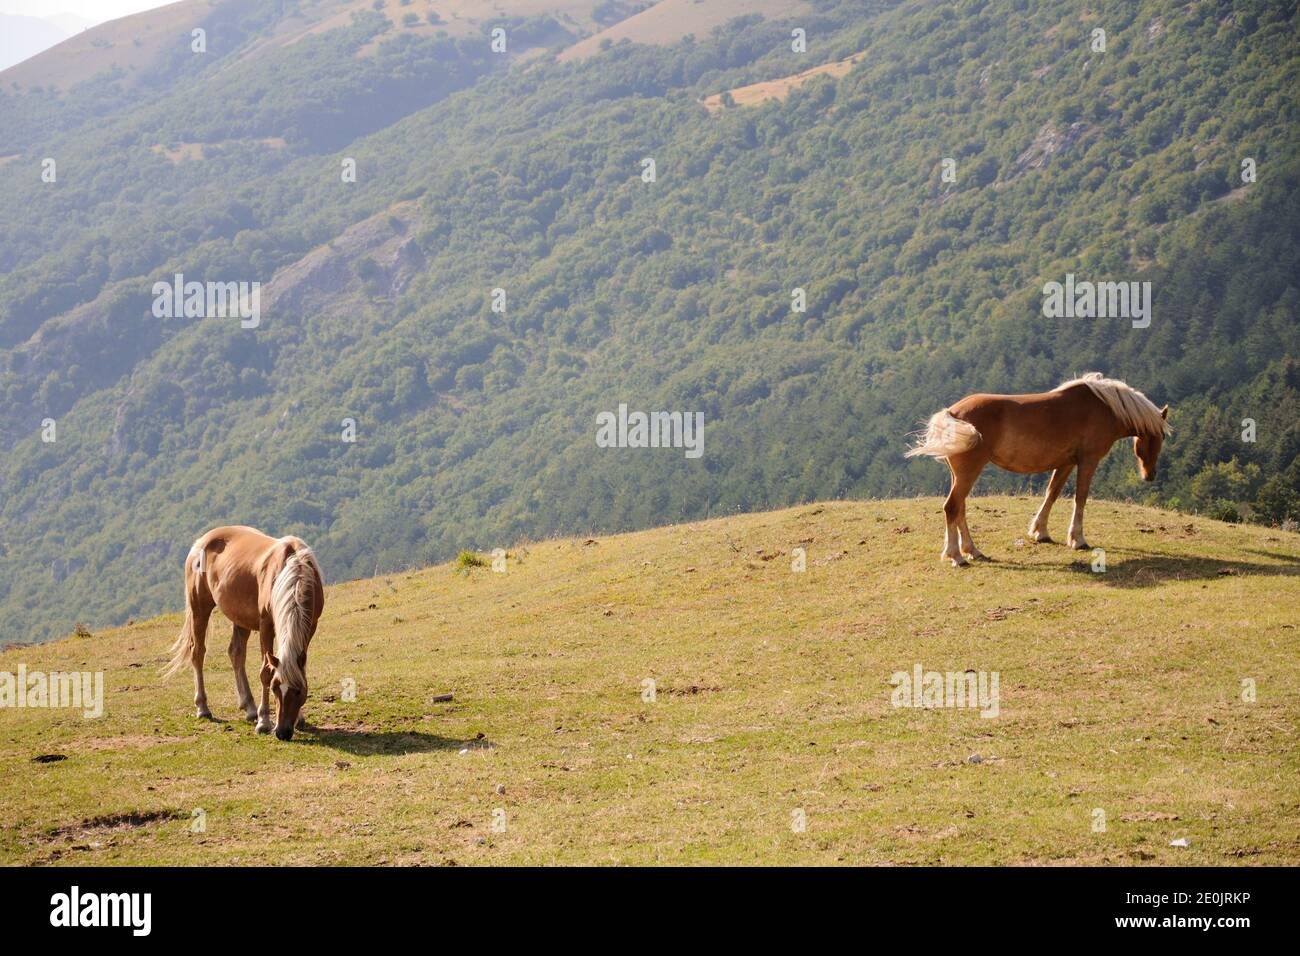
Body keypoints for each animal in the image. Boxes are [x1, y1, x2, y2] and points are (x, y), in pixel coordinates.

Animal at [163, 522, 323, 738]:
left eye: (299, 691)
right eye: (275, 688)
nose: (282, 732)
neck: (293, 570)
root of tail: (200, 542)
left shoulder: (311, 626)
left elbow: (299, 668)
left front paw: (299, 718)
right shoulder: (266, 625)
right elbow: (265, 672)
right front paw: (264, 722)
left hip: (240, 619)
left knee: (236, 653)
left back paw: (249, 708)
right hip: (199, 608)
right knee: (197, 653)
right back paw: (203, 708)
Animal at [909, 374, 1175, 567]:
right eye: (1159, 437)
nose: (1150, 475)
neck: (1104, 407)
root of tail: (952, 413)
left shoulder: (1066, 463)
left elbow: (1052, 494)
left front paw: (1040, 532)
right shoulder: (1088, 461)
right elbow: (1080, 498)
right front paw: (1077, 539)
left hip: (960, 475)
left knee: (959, 509)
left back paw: (972, 550)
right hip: (968, 473)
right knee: (952, 507)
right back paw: (956, 555)